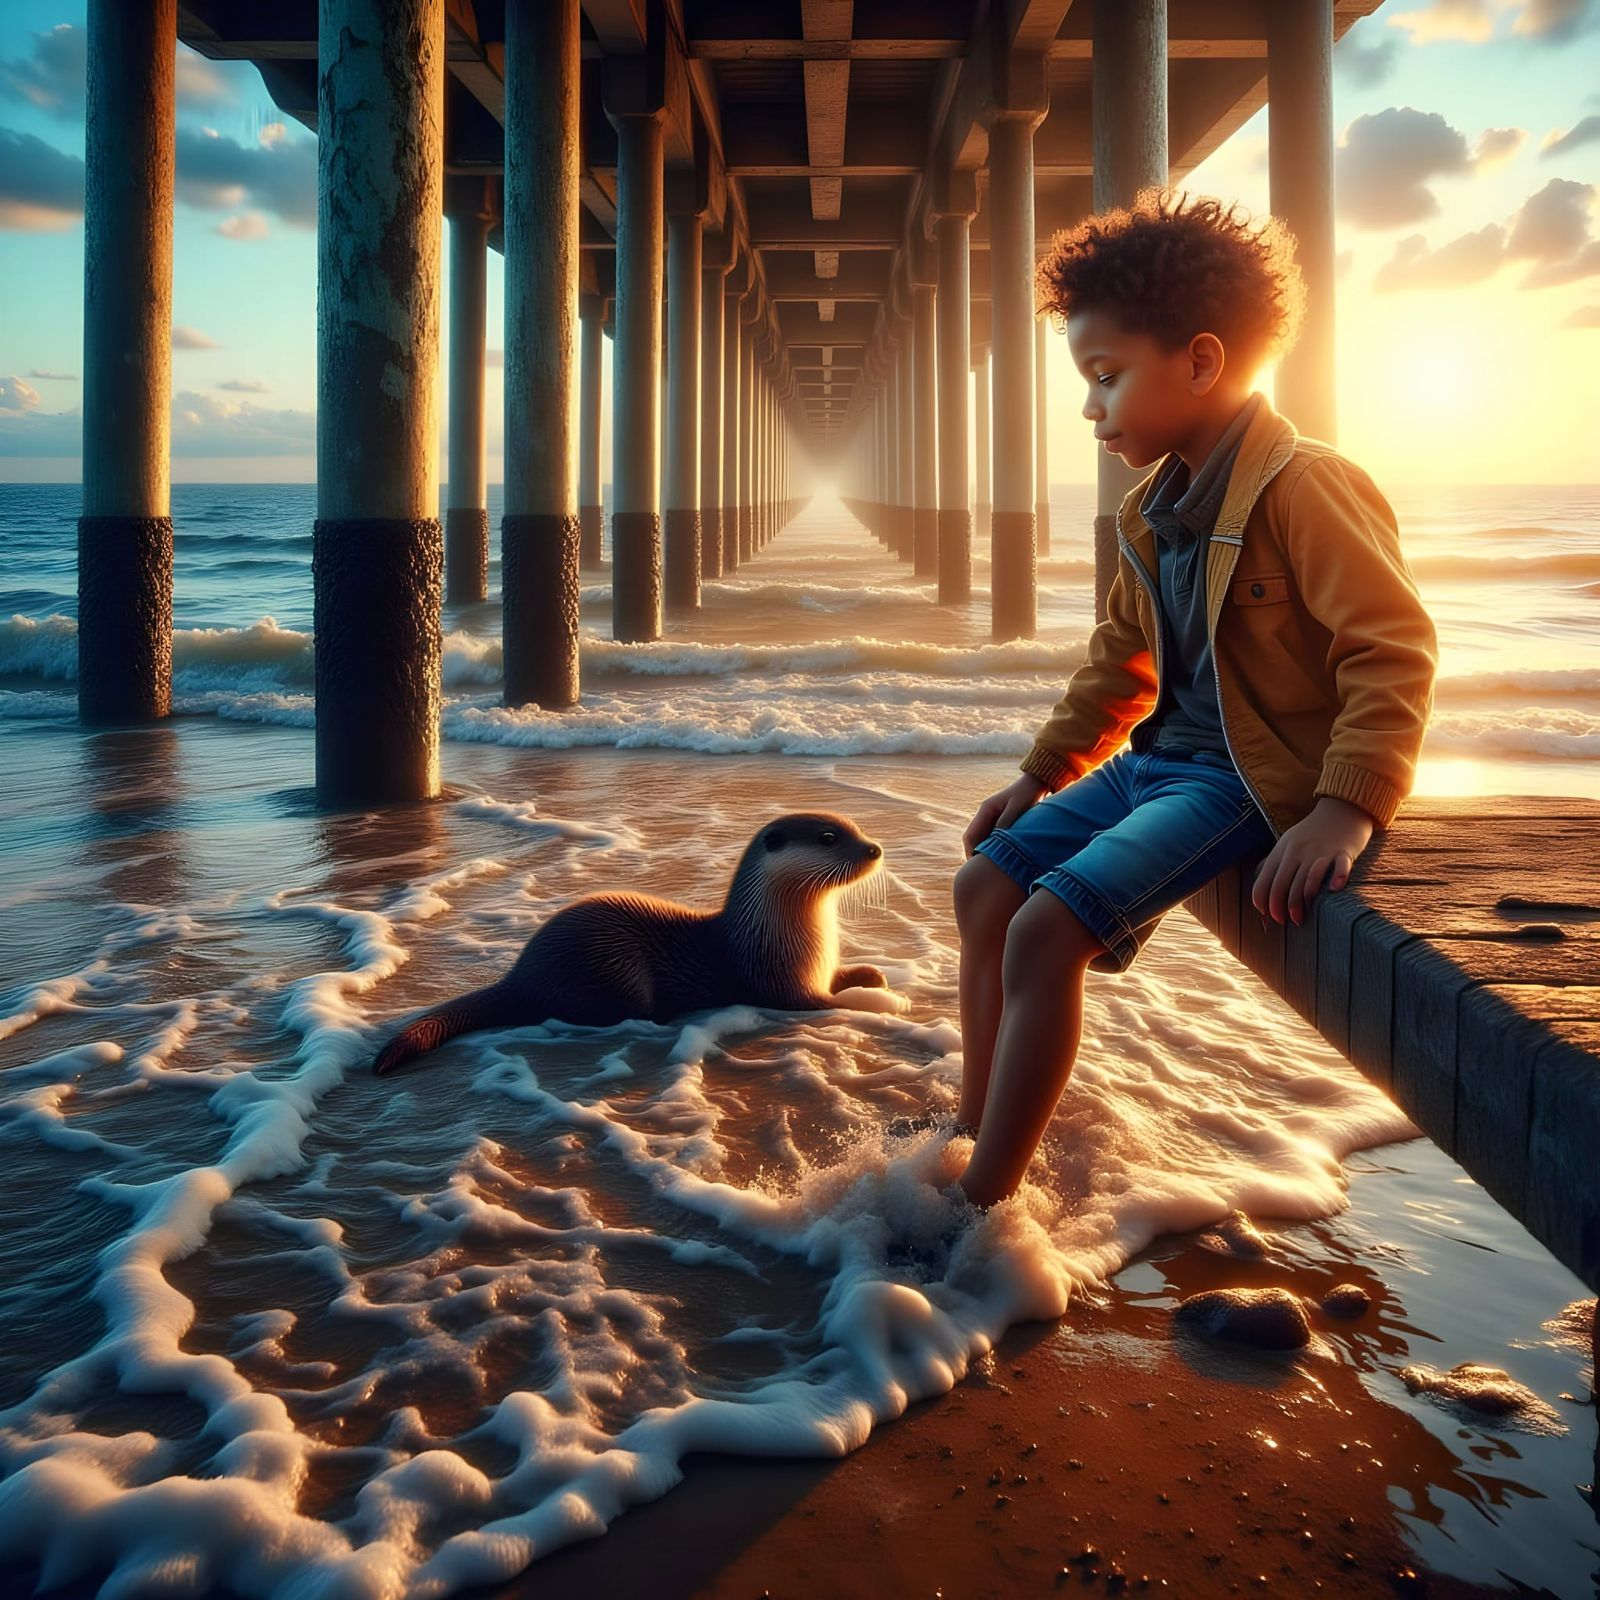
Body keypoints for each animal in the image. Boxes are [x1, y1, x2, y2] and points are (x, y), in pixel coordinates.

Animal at [373, 810, 887, 1075]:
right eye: (829, 837)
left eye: (858, 828)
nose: (875, 847)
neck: (769, 929)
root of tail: (521, 972)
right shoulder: (780, 979)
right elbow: (822, 1002)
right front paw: (878, 1003)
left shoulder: (818, 966)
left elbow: (843, 975)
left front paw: (872, 974)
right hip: (610, 967)